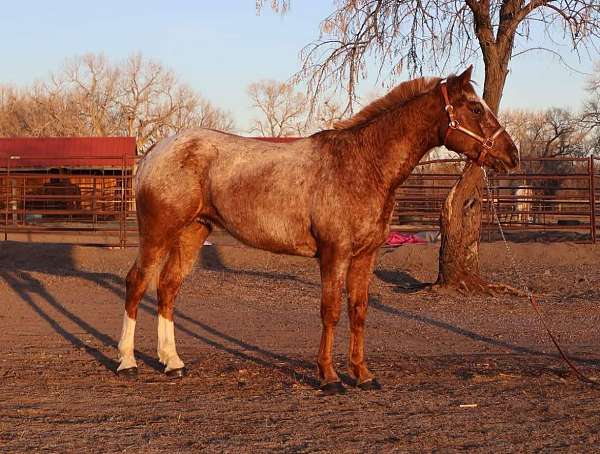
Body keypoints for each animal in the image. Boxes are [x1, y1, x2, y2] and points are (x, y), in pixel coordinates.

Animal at [118, 66, 520, 394]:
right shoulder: (334, 253)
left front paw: (363, 374)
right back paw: (127, 362)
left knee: (168, 288)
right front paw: (329, 377)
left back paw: (173, 363)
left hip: (193, 233)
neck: (362, 164)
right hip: (157, 234)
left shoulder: (365, 256)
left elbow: (358, 310)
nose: (512, 154)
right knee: (137, 282)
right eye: (475, 108)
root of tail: (156, 151)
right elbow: (331, 311)